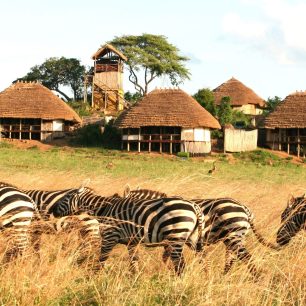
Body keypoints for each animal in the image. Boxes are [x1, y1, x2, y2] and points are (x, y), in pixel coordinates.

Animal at [50, 188, 204, 276]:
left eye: (65, 199)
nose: (52, 211)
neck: (104, 208)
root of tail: (193, 205)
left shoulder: (109, 237)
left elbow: (101, 260)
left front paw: (93, 278)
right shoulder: (132, 242)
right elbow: (134, 262)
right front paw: (135, 279)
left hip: (176, 237)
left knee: (180, 265)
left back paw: (178, 284)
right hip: (192, 239)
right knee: (202, 259)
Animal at [123, 186, 278, 274]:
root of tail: (245, 208)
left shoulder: (171, 240)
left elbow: (167, 259)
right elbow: (166, 258)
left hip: (234, 235)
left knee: (245, 257)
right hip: (232, 237)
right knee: (231, 259)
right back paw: (223, 277)